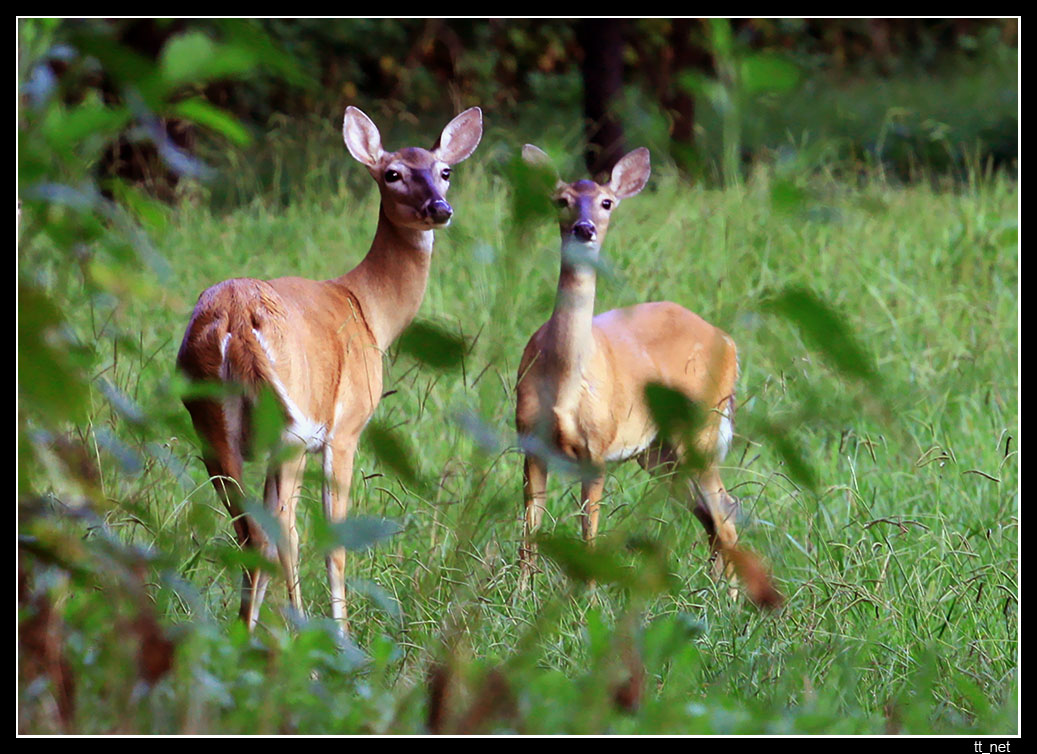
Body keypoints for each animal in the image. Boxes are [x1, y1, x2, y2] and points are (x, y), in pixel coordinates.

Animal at [176, 106, 483, 634]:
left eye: (444, 171)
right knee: (284, 531)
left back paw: (244, 634)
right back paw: (301, 633)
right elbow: (336, 540)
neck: (368, 310)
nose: (440, 208)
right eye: (392, 174)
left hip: (210, 424)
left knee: (250, 532)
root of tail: (235, 315)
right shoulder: (346, 429)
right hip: (291, 425)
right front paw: (342, 632)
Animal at [514, 144, 779, 609]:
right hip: (660, 453)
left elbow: (588, 531)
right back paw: (714, 595)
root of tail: (728, 341)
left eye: (607, 202)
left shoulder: (597, 449)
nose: (584, 228)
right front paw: (516, 599)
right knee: (714, 513)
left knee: (724, 512)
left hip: (701, 429)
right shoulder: (530, 443)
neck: (563, 384)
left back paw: (728, 601)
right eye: (562, 200)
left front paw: (589, 602)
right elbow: (531, 530)